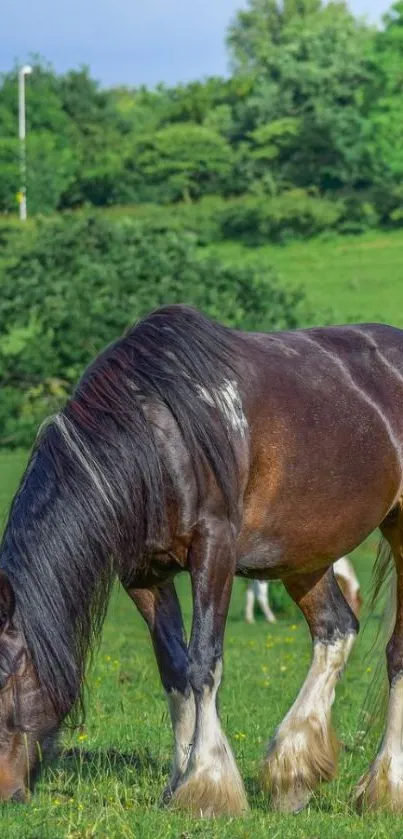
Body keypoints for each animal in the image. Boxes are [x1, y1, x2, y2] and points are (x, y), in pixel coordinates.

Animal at [0, 306, 403, 812]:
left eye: (5, 678)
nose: (5, 792)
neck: (159, 435)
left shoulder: (215, 549)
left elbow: (203, 661)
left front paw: (208, 785)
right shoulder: (144, 572)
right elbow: (173, 668)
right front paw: (178, 781)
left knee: (393, 651)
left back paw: (385, 787)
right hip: (305, 553)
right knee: (336, 629)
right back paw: (294, 773)